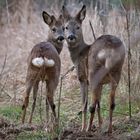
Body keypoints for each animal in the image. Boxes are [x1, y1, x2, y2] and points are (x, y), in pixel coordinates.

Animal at [61, 4, 125, 133]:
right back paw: (109, 129)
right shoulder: (101, 83)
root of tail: (109, 49)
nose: (71, 37)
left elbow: (84, 104)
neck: (79, 54)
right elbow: (99, 103)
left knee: (91, 105)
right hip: (116, 72)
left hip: (93, 72)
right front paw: (100, 125)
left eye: (78, 26)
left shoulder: (82, 78)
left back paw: (88, 130)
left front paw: (82, 128)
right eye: (66, 27)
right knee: (111, 102)